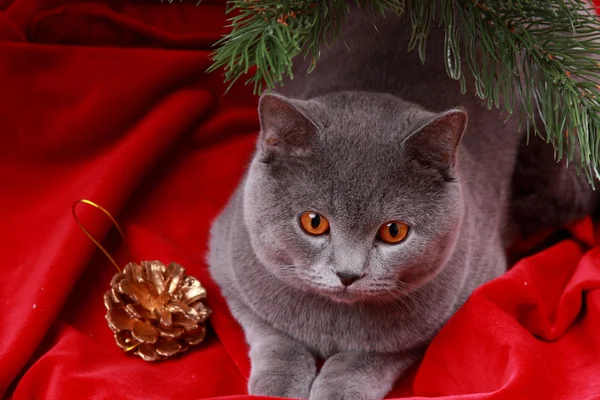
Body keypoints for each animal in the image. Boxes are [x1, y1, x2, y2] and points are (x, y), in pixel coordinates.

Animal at [206, 7, 596, 400]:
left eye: (394, 231)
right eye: (313, 222)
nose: (348, 274)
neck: (333, 324)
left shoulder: (463, 295)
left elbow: (375, 353)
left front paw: (340, 386)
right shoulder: (229, 267)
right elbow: (273, 335)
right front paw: (277, 386)